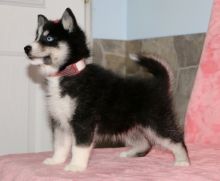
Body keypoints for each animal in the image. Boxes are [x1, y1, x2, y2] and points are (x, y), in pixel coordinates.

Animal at [23, 7, 189, 172]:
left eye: (49, 38)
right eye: (37, 37)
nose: (26, 48)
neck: (67, 73)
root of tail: (159, 83)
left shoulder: (83, 120)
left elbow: (79, 147)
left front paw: (76, 166)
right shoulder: (60, 121)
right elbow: (60, 145)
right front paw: (56, 161)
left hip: (157, 121)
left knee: (176, 139)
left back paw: (183, 161)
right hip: (126, 125)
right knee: (145, 143)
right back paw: (130, 153)